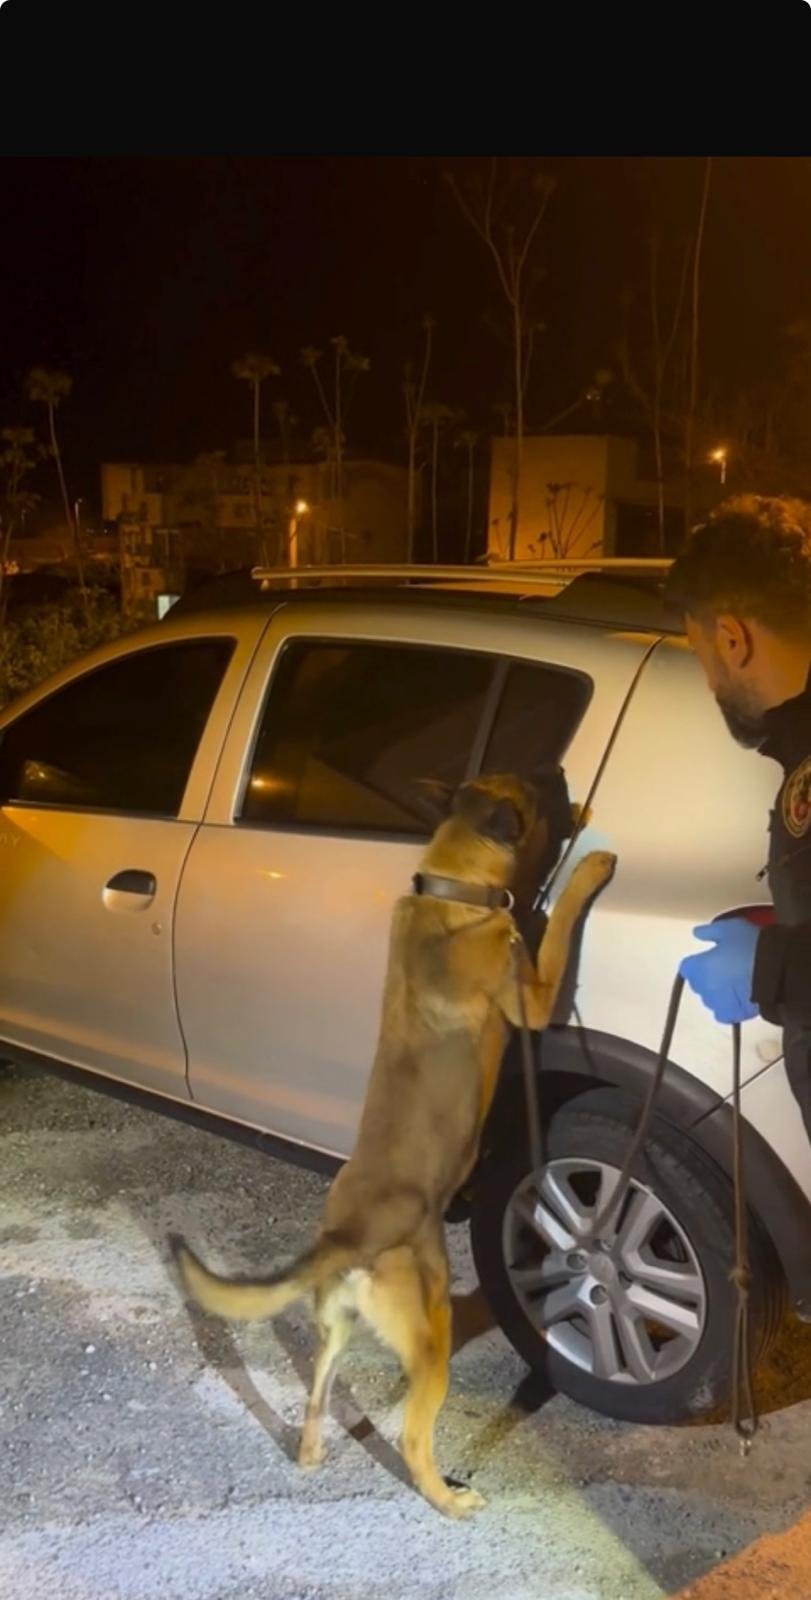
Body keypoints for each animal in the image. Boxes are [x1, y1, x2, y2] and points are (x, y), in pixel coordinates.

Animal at [172, 771, 615, 1518]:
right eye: (531, 788)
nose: (561, 779)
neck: (449, 886)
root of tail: (345, 1237)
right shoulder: (531, 996)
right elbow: (556, 932)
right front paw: (587, 870)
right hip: (429, 1335)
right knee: (412, 1438)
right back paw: (448, 1499)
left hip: (337, 1328)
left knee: (317, 1393)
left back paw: (312, 1450)